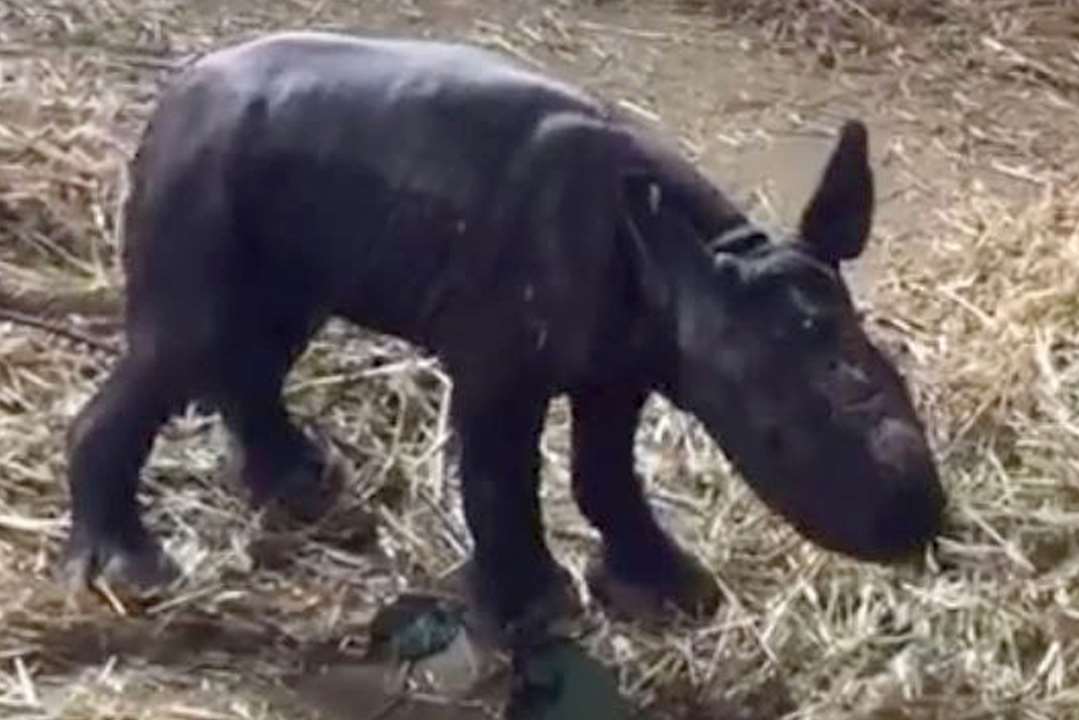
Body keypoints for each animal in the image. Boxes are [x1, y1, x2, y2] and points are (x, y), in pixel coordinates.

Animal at [65, 29, 945, 643]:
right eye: (773, 439)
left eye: (898, 379)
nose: (915, 520)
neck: (705, 266)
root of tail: (175, 95)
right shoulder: (501, 364)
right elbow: (499, 476)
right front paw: (532, 610)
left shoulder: (621, 363)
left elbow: (604, 470)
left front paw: (667, 591)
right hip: (201, 173)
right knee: (185, 342)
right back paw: (132, 571)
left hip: (283, 213)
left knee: (259, 339)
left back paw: (301, 488)